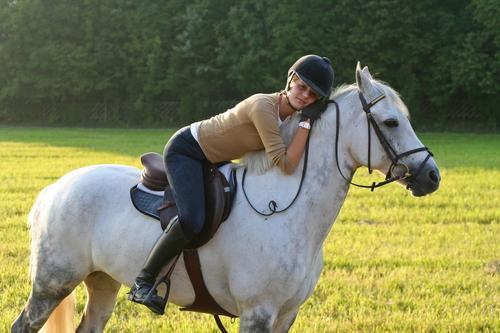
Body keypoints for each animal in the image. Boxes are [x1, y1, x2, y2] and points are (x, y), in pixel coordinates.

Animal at [11, 63, 440, 332]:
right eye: (390, 122)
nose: (431, 176)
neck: (285, 212)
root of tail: (53, 190)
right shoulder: (257, 313)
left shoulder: (286, 315)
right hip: (53, 283)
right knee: (24, 324)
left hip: (101, 281)